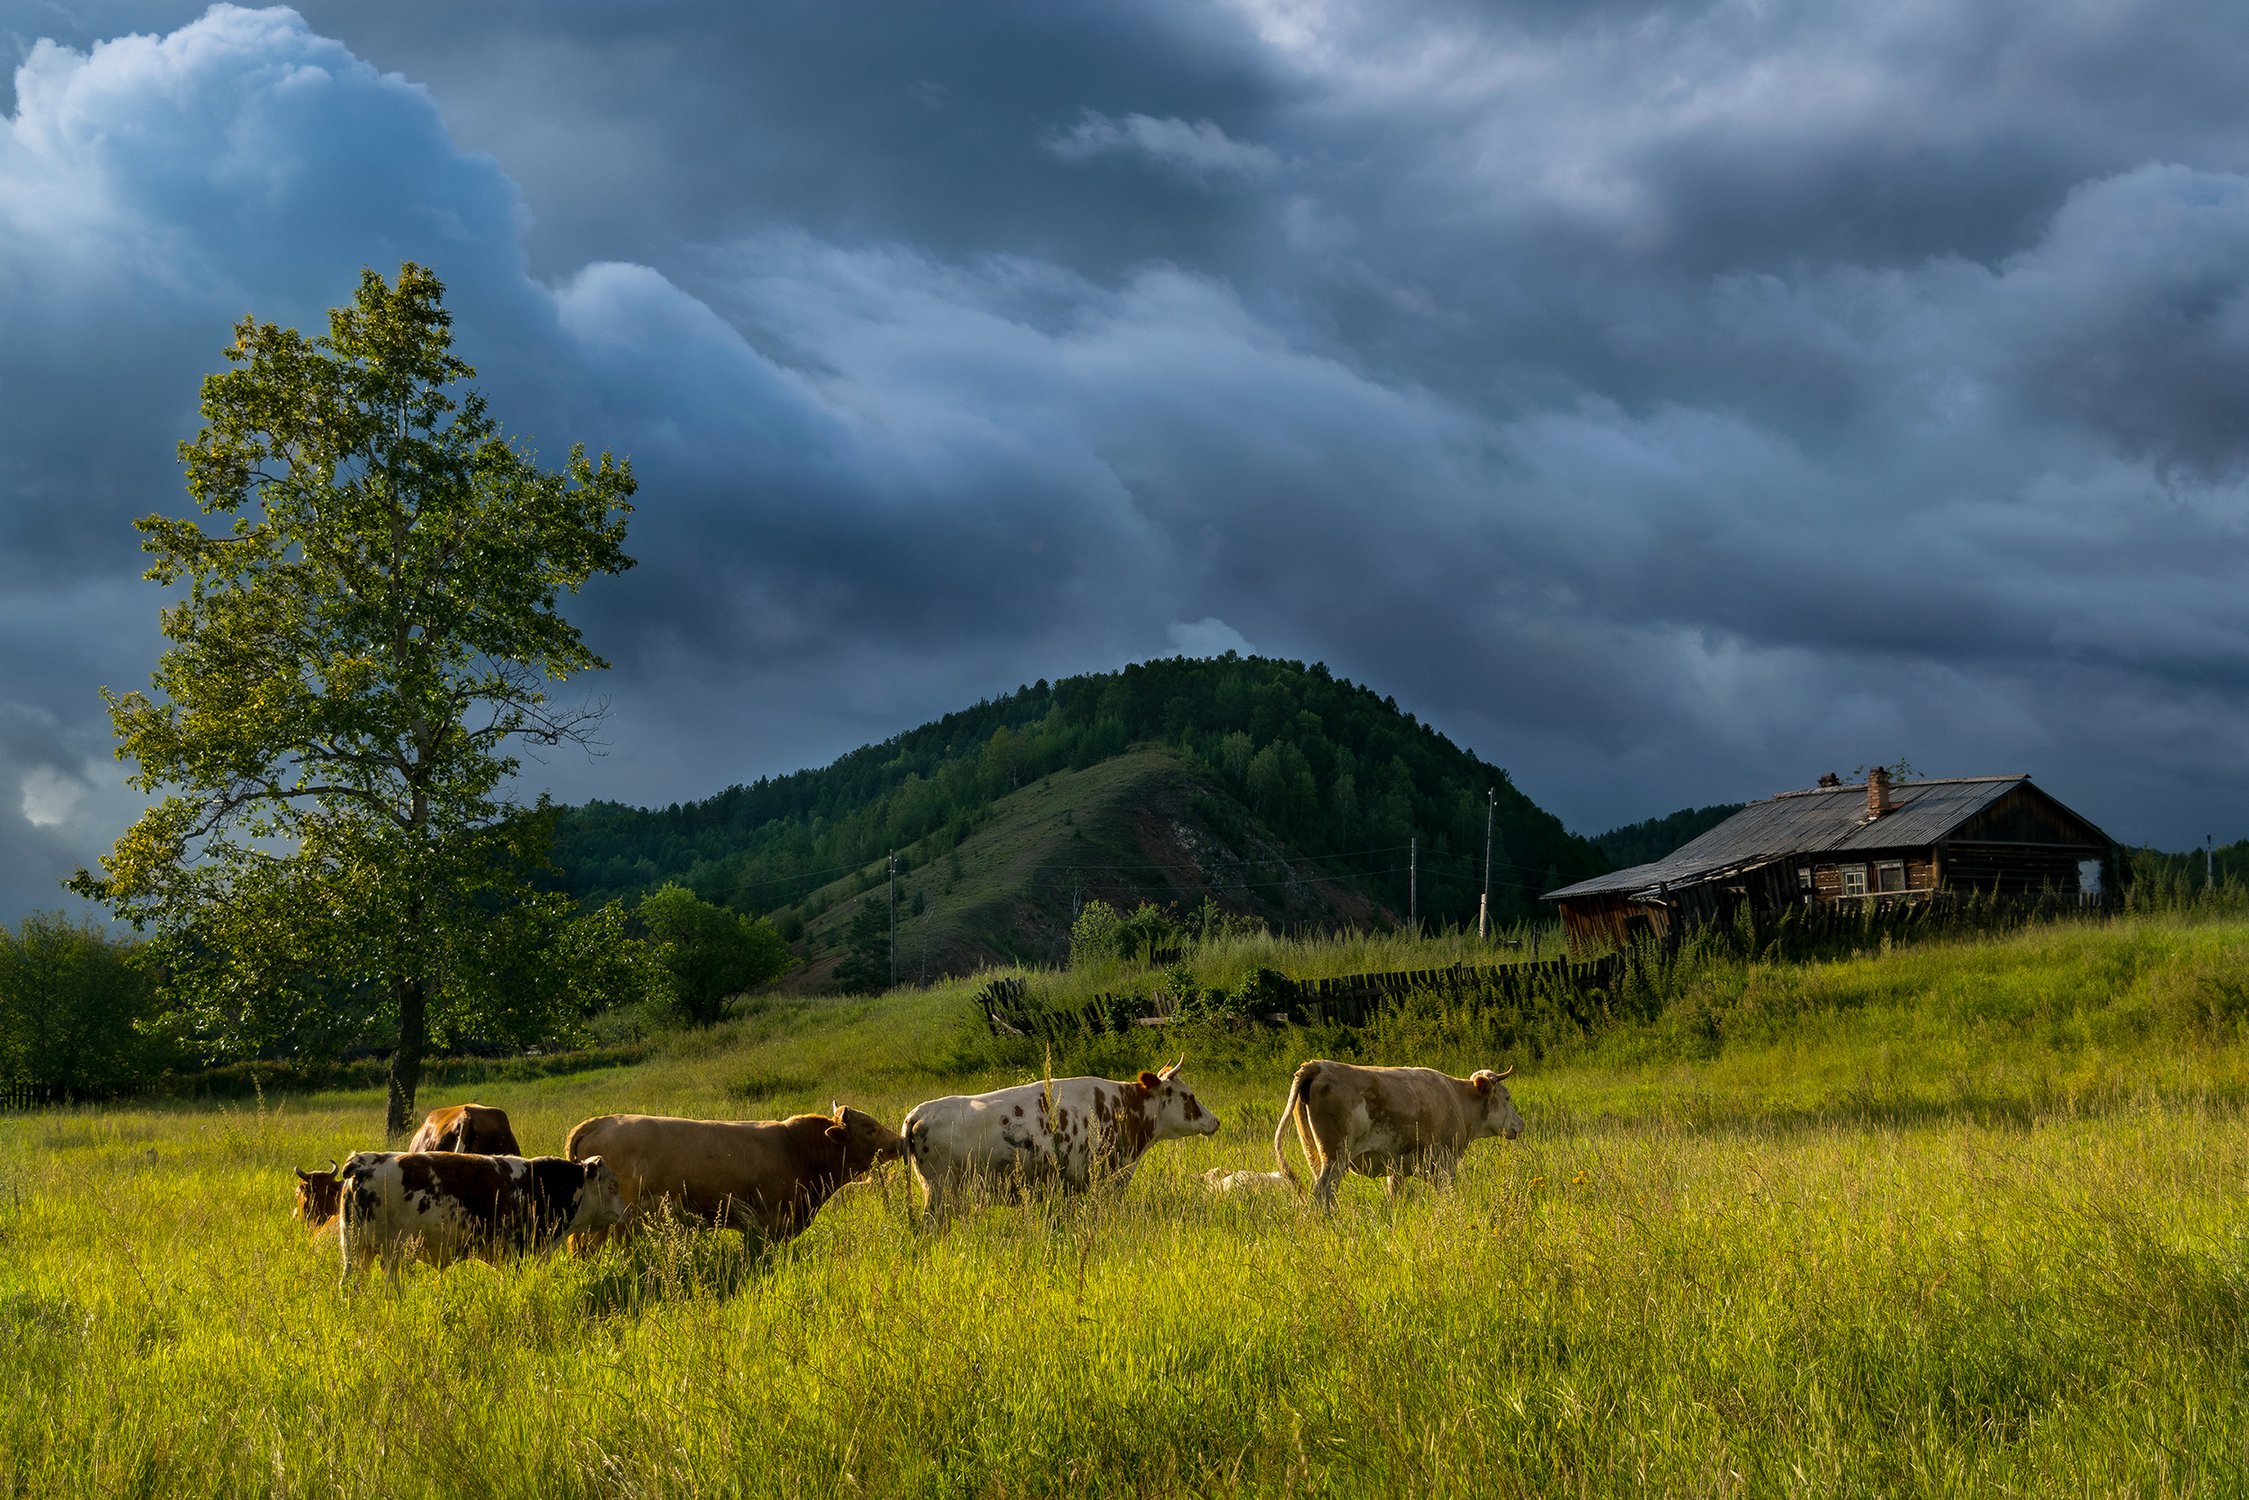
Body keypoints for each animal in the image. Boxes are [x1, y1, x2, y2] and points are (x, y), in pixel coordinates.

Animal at [328, 1151, 625, 1277]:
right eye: (613, 1186)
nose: (625, 1212)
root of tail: (364, 1163)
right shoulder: (519, 1253)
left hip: (355, 1251)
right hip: (394, 1253)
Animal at [1268, 1056, 1529, 1205]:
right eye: (1507, 1097)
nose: (1520, 1124)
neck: (1457, 1099)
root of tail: (1318, 1065)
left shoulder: (1398, 1167)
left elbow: (1394, 1195)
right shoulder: (1445, 1162)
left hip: (1315, 1155)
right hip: (1335, 1156)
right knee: (1322, 1194)